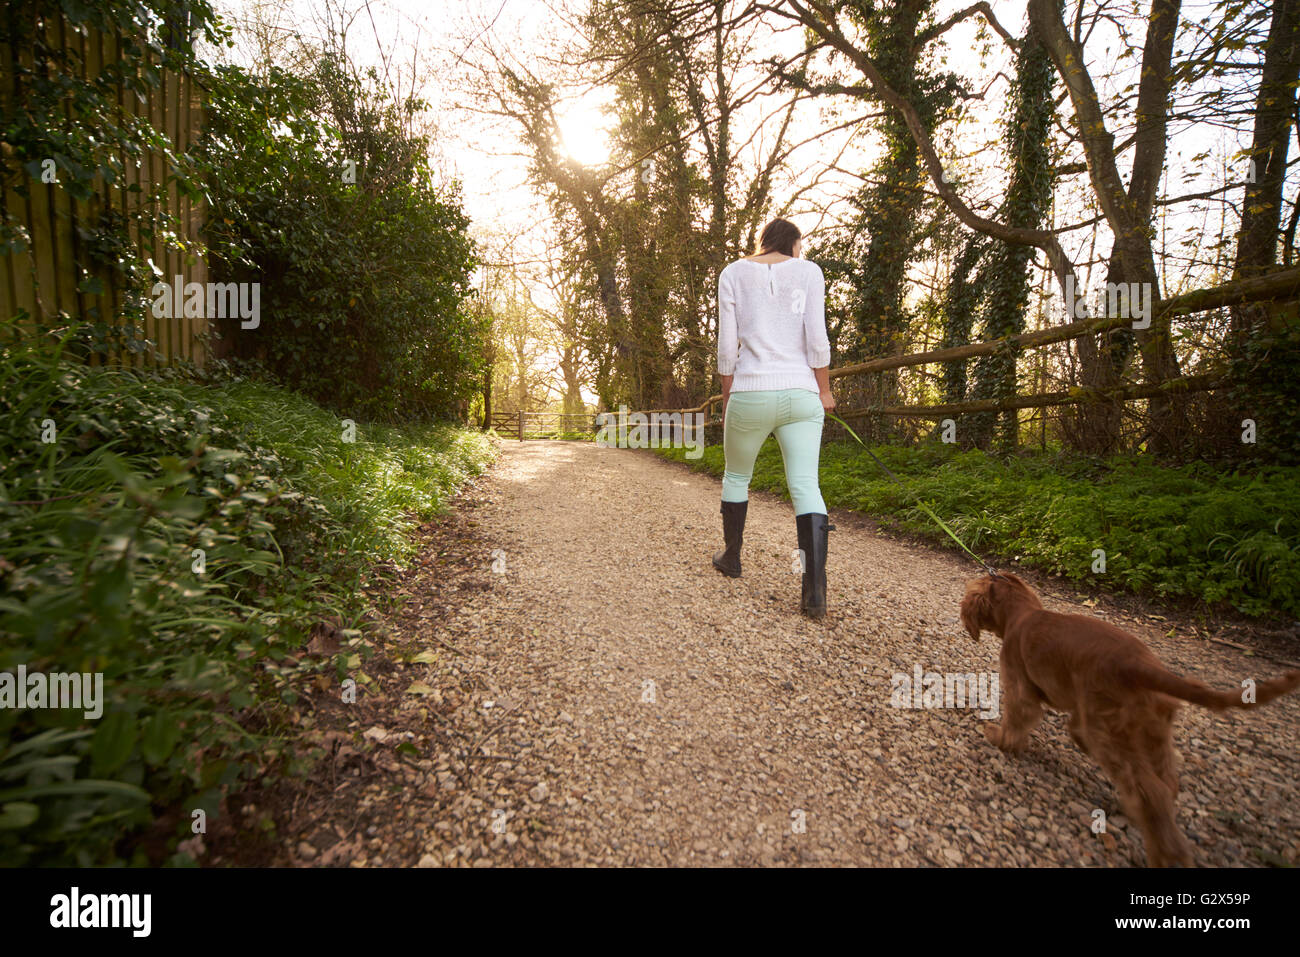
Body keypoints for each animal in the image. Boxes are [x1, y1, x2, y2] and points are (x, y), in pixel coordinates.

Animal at [956, 572, 1300, 868]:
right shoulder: (1081, 709)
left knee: (1152, 791)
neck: (1022, 614)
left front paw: (1000, 739)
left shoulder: (1021, 686)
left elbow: (1017, 719)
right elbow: (1073, 727)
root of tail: (1141, 667)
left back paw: (1166, 854)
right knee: (1166, 784)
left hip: (1109, 731)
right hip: (1150, 732)